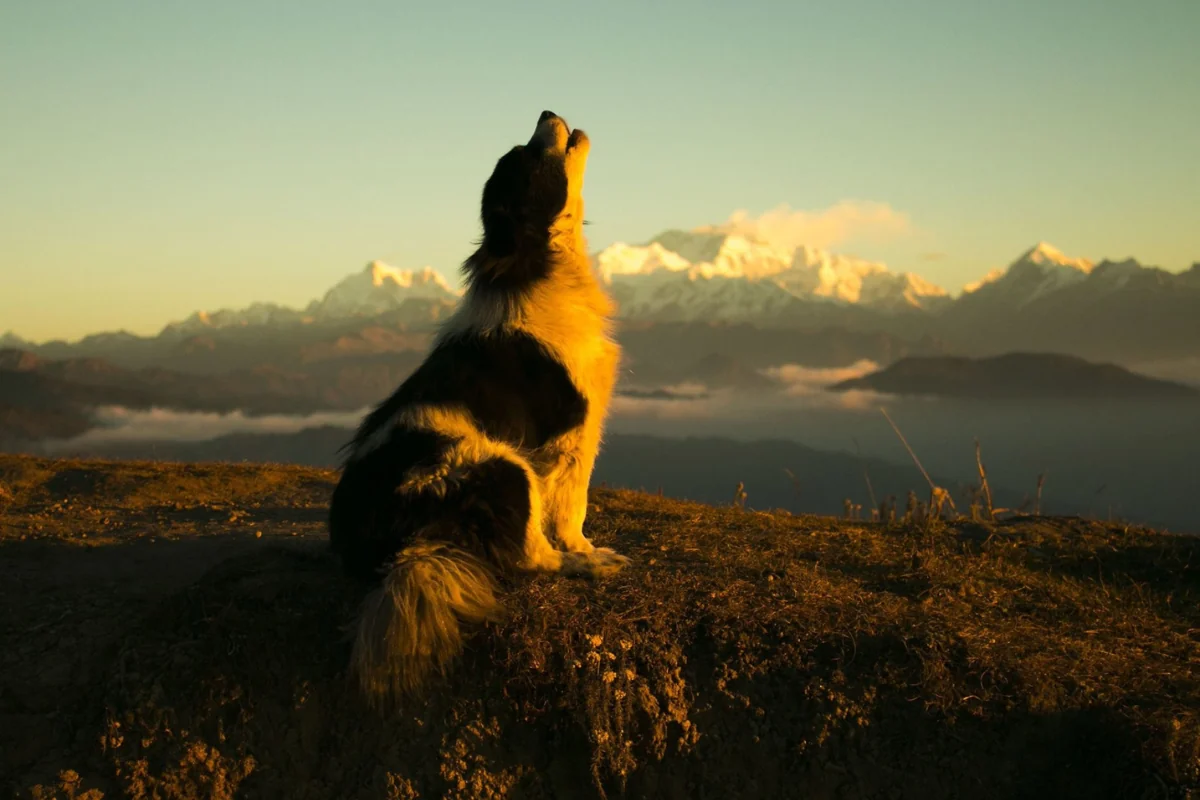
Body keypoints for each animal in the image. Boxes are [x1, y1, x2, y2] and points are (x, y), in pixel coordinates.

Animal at [326, 110, 628, 705]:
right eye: (527, 156)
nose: (546, 112)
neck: (540, 265)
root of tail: (399, 550)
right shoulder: (573, 438)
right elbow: (572, 510)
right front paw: (587, 551)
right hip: (499, 464)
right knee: (532, 557)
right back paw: (584, 567)